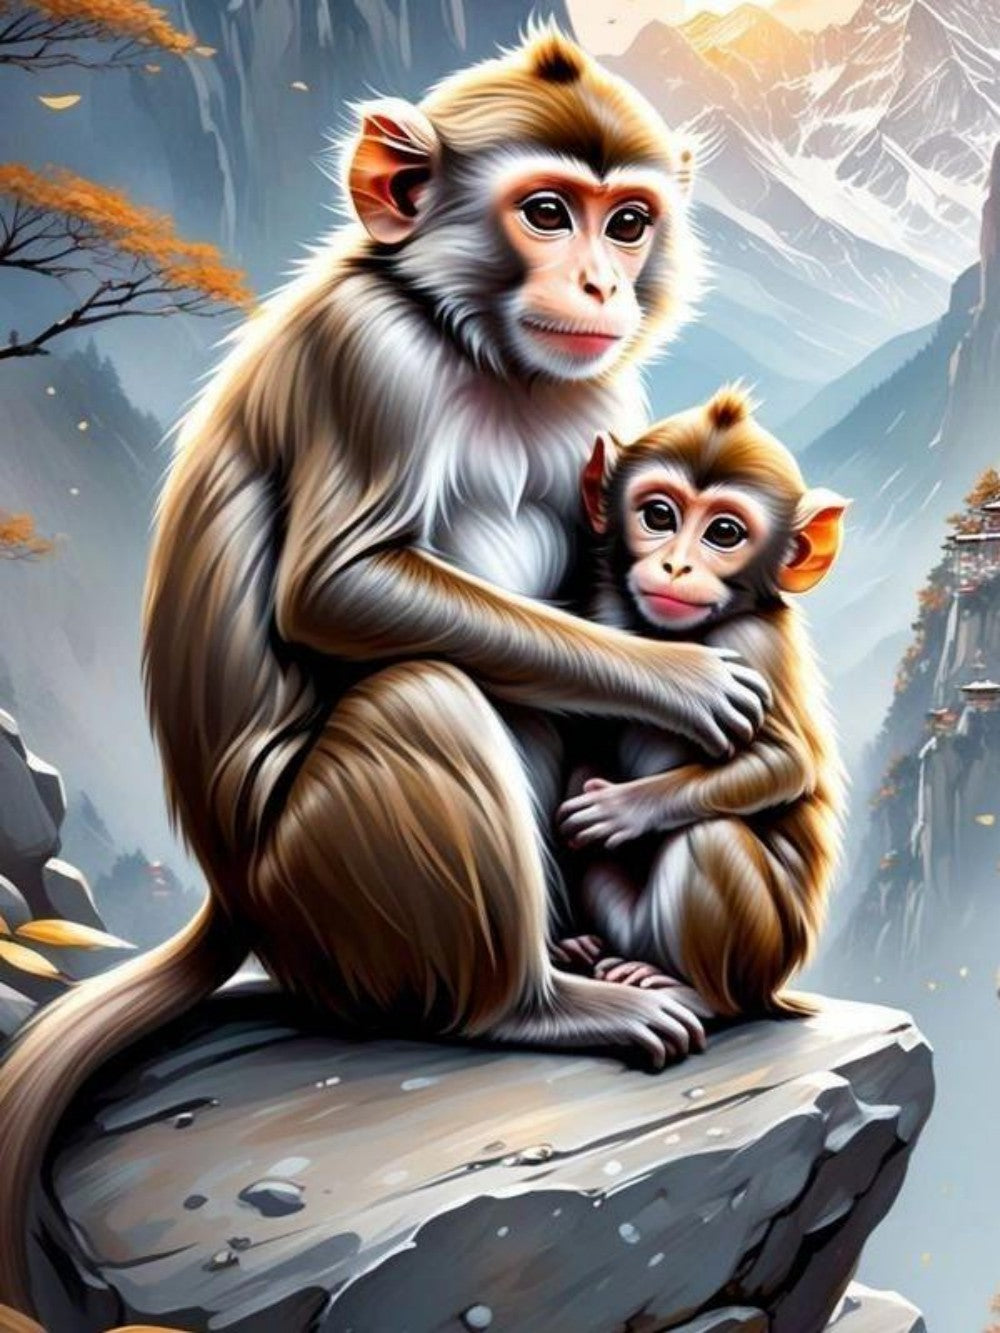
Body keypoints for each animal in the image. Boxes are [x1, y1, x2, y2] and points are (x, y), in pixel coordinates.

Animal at [0, 27, 773, 1319]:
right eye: (548, 212)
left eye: (626, 224)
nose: (601, 287)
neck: (465, 338)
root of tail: (233, 896)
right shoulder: (374, 360)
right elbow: (338, 589)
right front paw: (673, 678)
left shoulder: (593, 393)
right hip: (326, 895)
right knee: (428, 693)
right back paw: (537, 1007)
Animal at [554, 387, 847, 1018]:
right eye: (659, 516)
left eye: (725, 533)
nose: (675, 565)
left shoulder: (752, 644)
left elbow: (787, 763)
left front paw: (624, 808)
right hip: (627, 921)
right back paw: (580, 948)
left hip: (759, 957)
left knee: (708, 835)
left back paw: (700, 996)